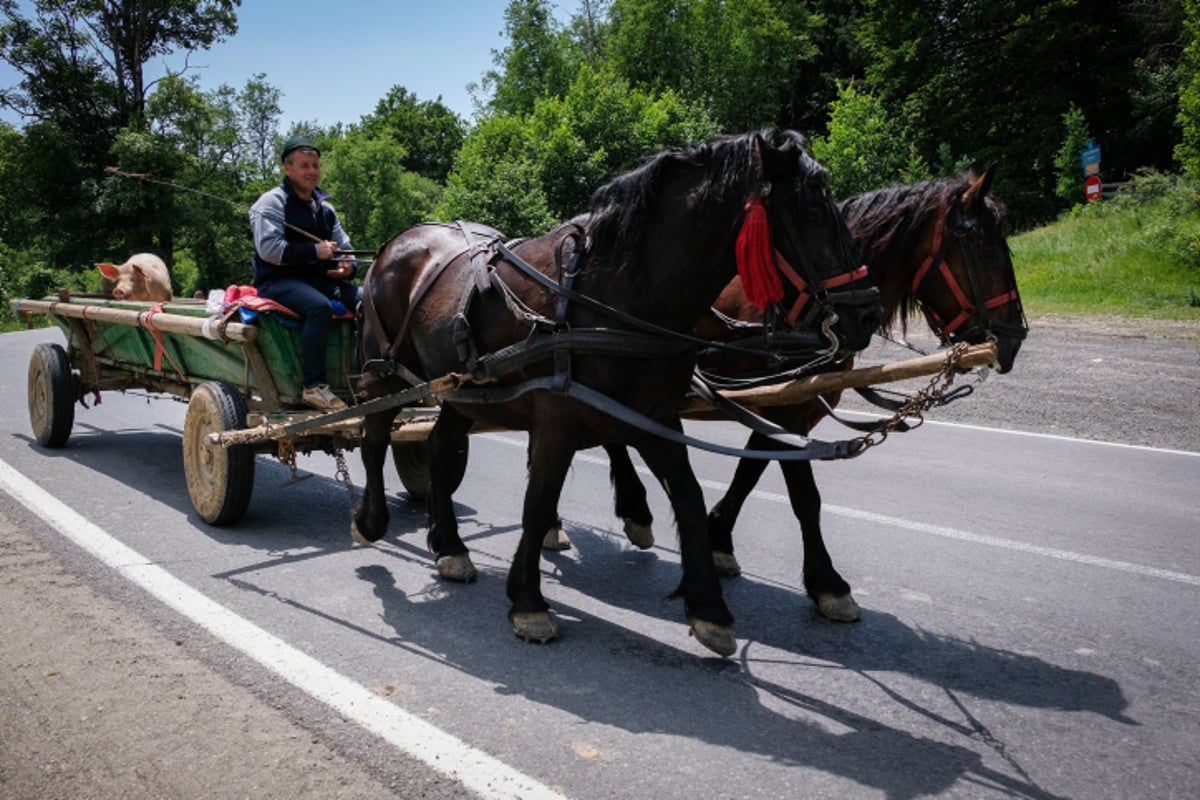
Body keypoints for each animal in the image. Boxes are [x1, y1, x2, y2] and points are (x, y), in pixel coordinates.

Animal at [348, 130, 883, 657]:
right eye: (812, 210)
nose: (867, 314)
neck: (610, 295)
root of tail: (397, 243)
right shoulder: (558, 420)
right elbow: (539, 498)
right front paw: (528, 602)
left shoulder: (655, 416)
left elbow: (687, 495)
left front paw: (708, 607)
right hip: (383, 372)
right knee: (374, 438)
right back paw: (371, 520)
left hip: (463, 390)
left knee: (440, 448)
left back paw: (450, 546)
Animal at [559, 164, 1022, 618]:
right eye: (983, 246)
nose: (1014, 338)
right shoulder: (788, 409)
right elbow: (804, 496)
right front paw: (827, 583)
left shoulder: (783, 405)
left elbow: (749, 472)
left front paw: (718, 538)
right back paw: (599, 517)